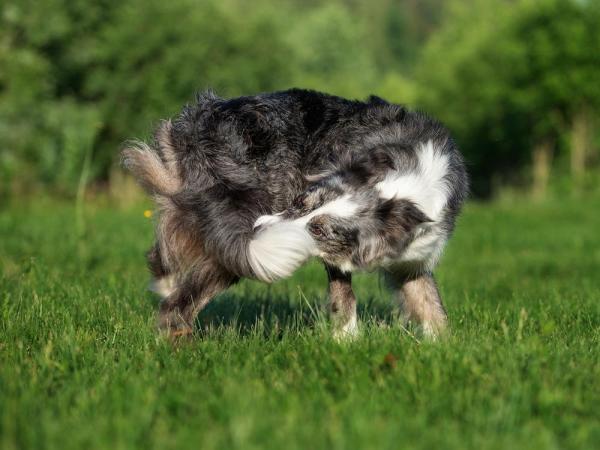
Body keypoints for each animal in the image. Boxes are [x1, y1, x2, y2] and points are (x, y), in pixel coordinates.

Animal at [123, 89, 468, 338]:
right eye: (300, 203)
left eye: (319, 229)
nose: (261, 226)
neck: (407, 188)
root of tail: (198, 123)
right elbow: (344, 297)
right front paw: (346, 342)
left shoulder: (413, 261)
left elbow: (432, 305)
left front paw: (444, 349)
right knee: (178, 307)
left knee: (164, 254)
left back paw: (165, 282)